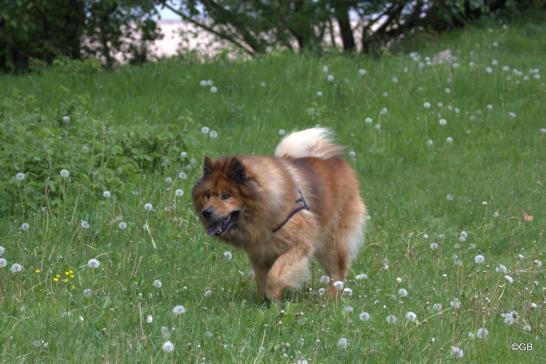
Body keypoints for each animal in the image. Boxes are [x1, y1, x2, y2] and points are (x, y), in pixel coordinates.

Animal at [191, 128, 366, 302]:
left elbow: (275, 275)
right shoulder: (260, 254)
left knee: (337, 271)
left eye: (226, 196)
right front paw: (265, 302)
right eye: (207, 195)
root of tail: (334, 160)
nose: (206, 212)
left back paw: (331, 297)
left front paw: (274, 299)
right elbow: (262, 280)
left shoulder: (298, 245)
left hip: (330, 242)